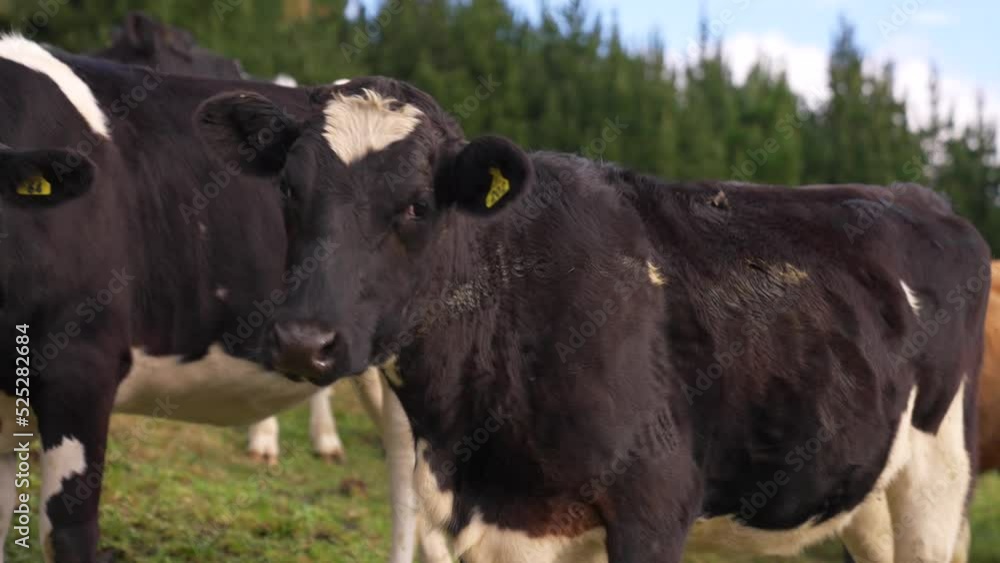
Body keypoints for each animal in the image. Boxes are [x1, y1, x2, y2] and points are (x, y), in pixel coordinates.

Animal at [195, 76, 989, 563]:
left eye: (417, 205)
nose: (303, 340)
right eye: (289, 189)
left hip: (937, 479)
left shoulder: (653, 506)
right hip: (868, 497)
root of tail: (919, 197)